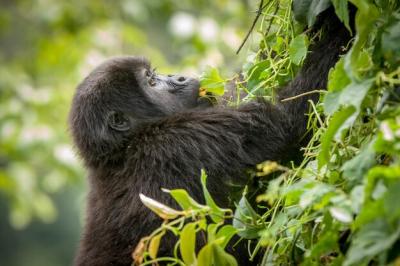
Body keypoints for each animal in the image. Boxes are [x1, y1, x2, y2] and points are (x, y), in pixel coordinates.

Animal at [70, 8, 352, 266]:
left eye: (155, 74)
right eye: (150, 82)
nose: (179, 77)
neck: (121, 150)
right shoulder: (177, 140)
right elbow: (287, 120)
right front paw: (338, 25)